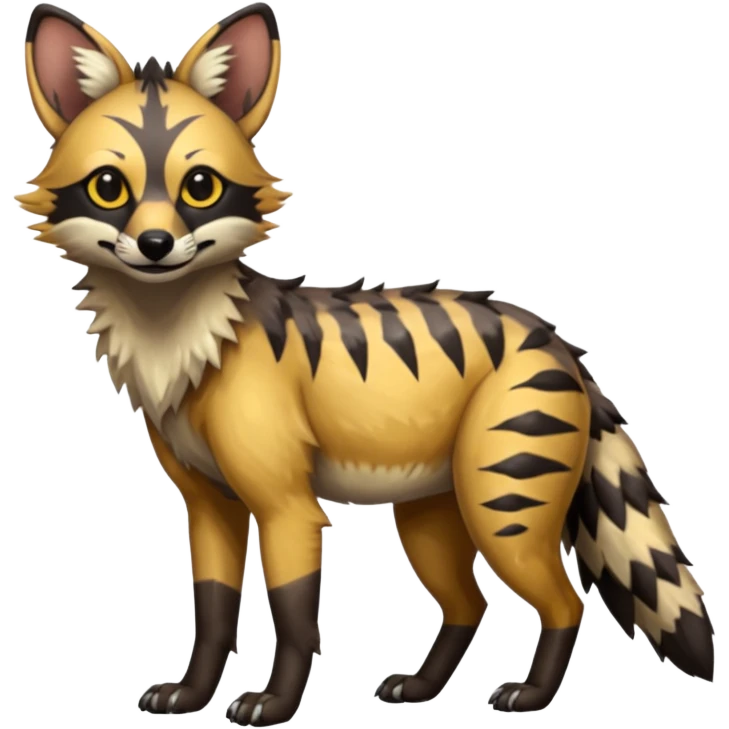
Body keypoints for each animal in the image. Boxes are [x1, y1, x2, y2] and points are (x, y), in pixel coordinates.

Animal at [17, 3, 715, 725]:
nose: (155, 244)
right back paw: (422, 687)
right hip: (431, 516)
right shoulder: (208, 505)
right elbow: (212, 613)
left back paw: (528, 697)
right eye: (108, 188)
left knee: (564, 601)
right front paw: (190, 696)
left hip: (503, 508)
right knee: (469, 604)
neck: (185, 343)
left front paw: (275, 704)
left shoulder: (287, 505)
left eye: (200, 188)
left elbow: (295, 617)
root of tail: (557, 341)